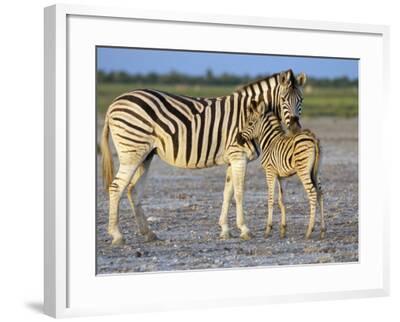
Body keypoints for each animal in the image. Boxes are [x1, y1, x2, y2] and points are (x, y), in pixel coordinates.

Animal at [100, 68, 306, 244]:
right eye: (283, 99)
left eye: (301, 100)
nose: (296, 128)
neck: (250, 115)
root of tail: (114, 103)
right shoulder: (239, 156)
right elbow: (239, 192)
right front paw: (244, 229)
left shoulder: (232, 158)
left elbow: (227, 192)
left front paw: (225, 230)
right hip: (131, 153)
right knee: (116, 187)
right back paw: (117, 235)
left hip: (145, 155)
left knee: (133, 190)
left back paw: (148, 233)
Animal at [238, 100, 324, 239]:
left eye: (250, 123)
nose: (237, 139)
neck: (269, 142)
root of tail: (313, 139)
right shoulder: (281, 176)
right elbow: (281, 200)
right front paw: (283, 230)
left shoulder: (270, 172)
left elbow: (270, 199)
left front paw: (268, 229)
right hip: (316, 171)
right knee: (320, 193)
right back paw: (322, 230)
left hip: (303, 170)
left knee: (312, 192)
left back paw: (309, 230)